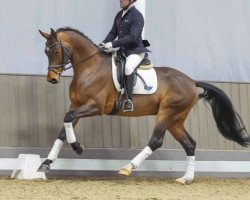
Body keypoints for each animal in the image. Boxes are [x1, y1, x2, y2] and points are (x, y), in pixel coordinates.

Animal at [37, 27, 250, 184]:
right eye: (45, 52)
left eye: (56, 51)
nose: (52, 79)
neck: (90, 67)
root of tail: (191, 81)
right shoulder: (77, 105)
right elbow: (63, 129)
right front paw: (46, 164)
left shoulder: (95, 106)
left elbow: (67, 119)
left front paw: (78, 148)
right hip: (176, 120)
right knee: (190, 143)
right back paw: (185, 179)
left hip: (166, 113)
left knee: (156, 141)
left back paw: (127, 168)